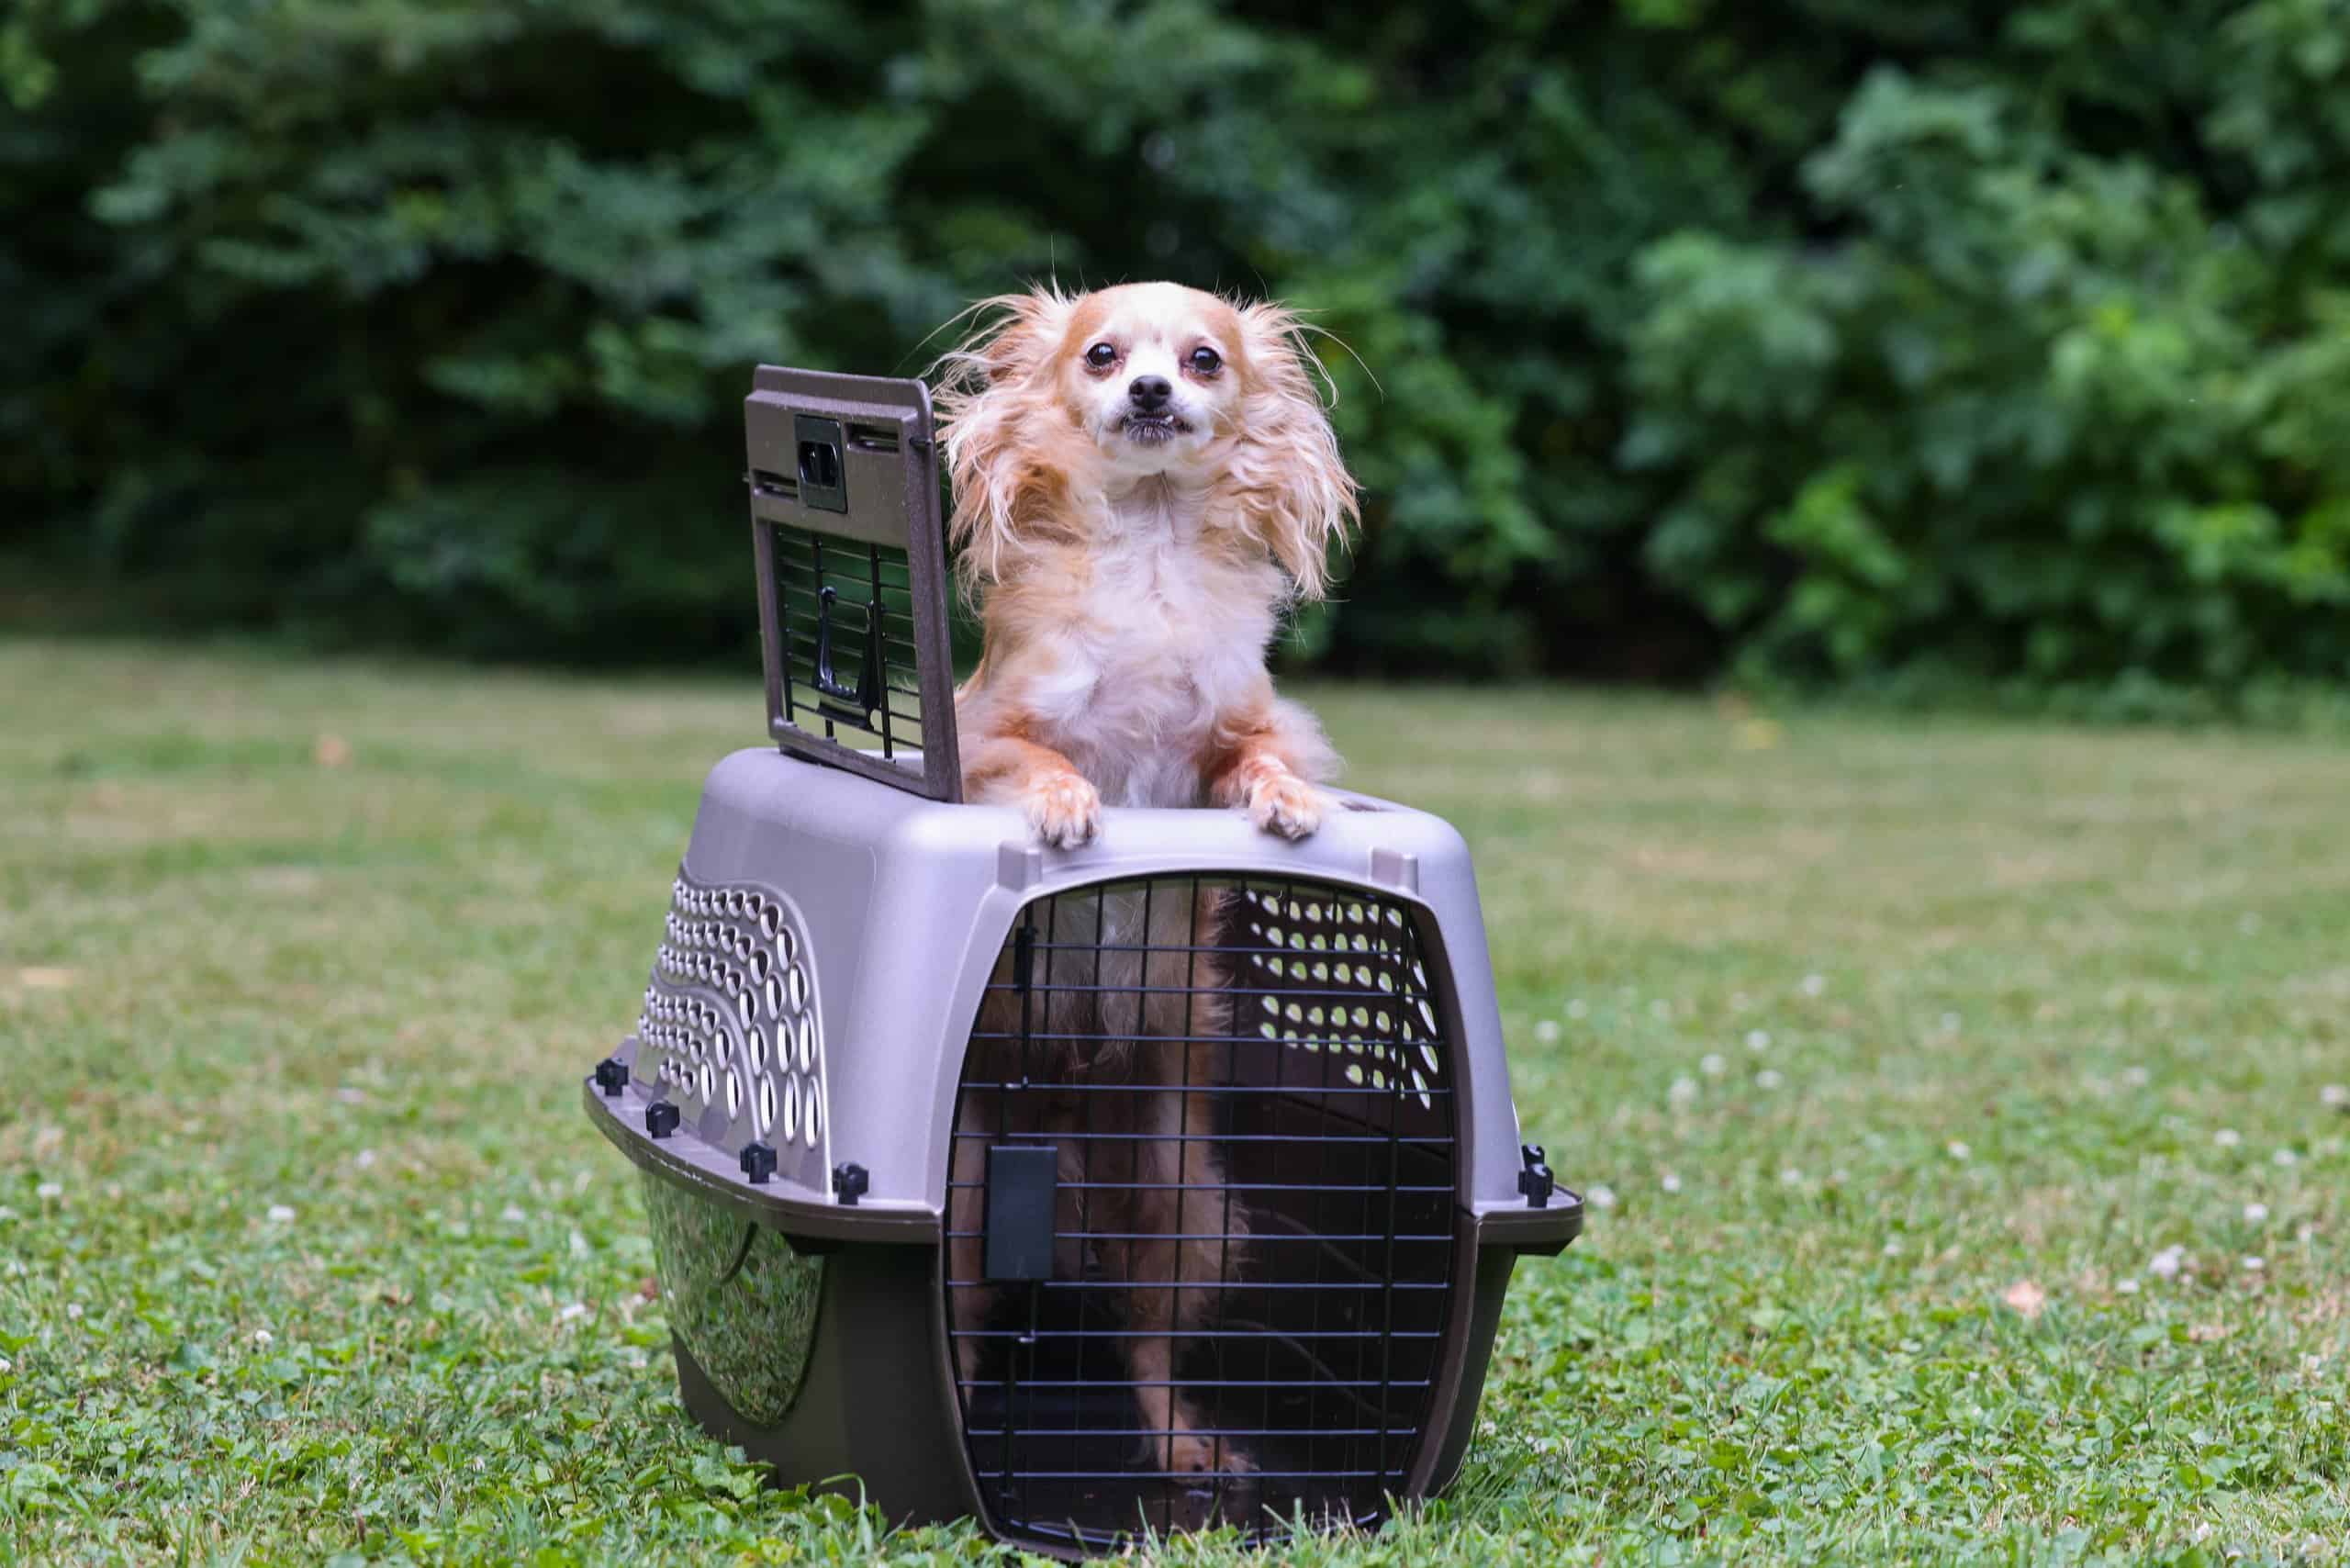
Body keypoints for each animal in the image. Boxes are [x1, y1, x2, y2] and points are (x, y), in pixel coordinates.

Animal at [925, 282, 1353, 1485]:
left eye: (1204, 360)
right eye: (1104, 356)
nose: (1153, 391)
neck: (1152, 547)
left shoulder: (1235, 736)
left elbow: (1261, 760)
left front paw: (1290, 806)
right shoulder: (991, 736)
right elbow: (1046, 761)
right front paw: (1070, 808)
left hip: (1182, 1199)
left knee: (1146, 1339)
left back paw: (1179, 1445)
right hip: (967, 1192)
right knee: (961, 1333)